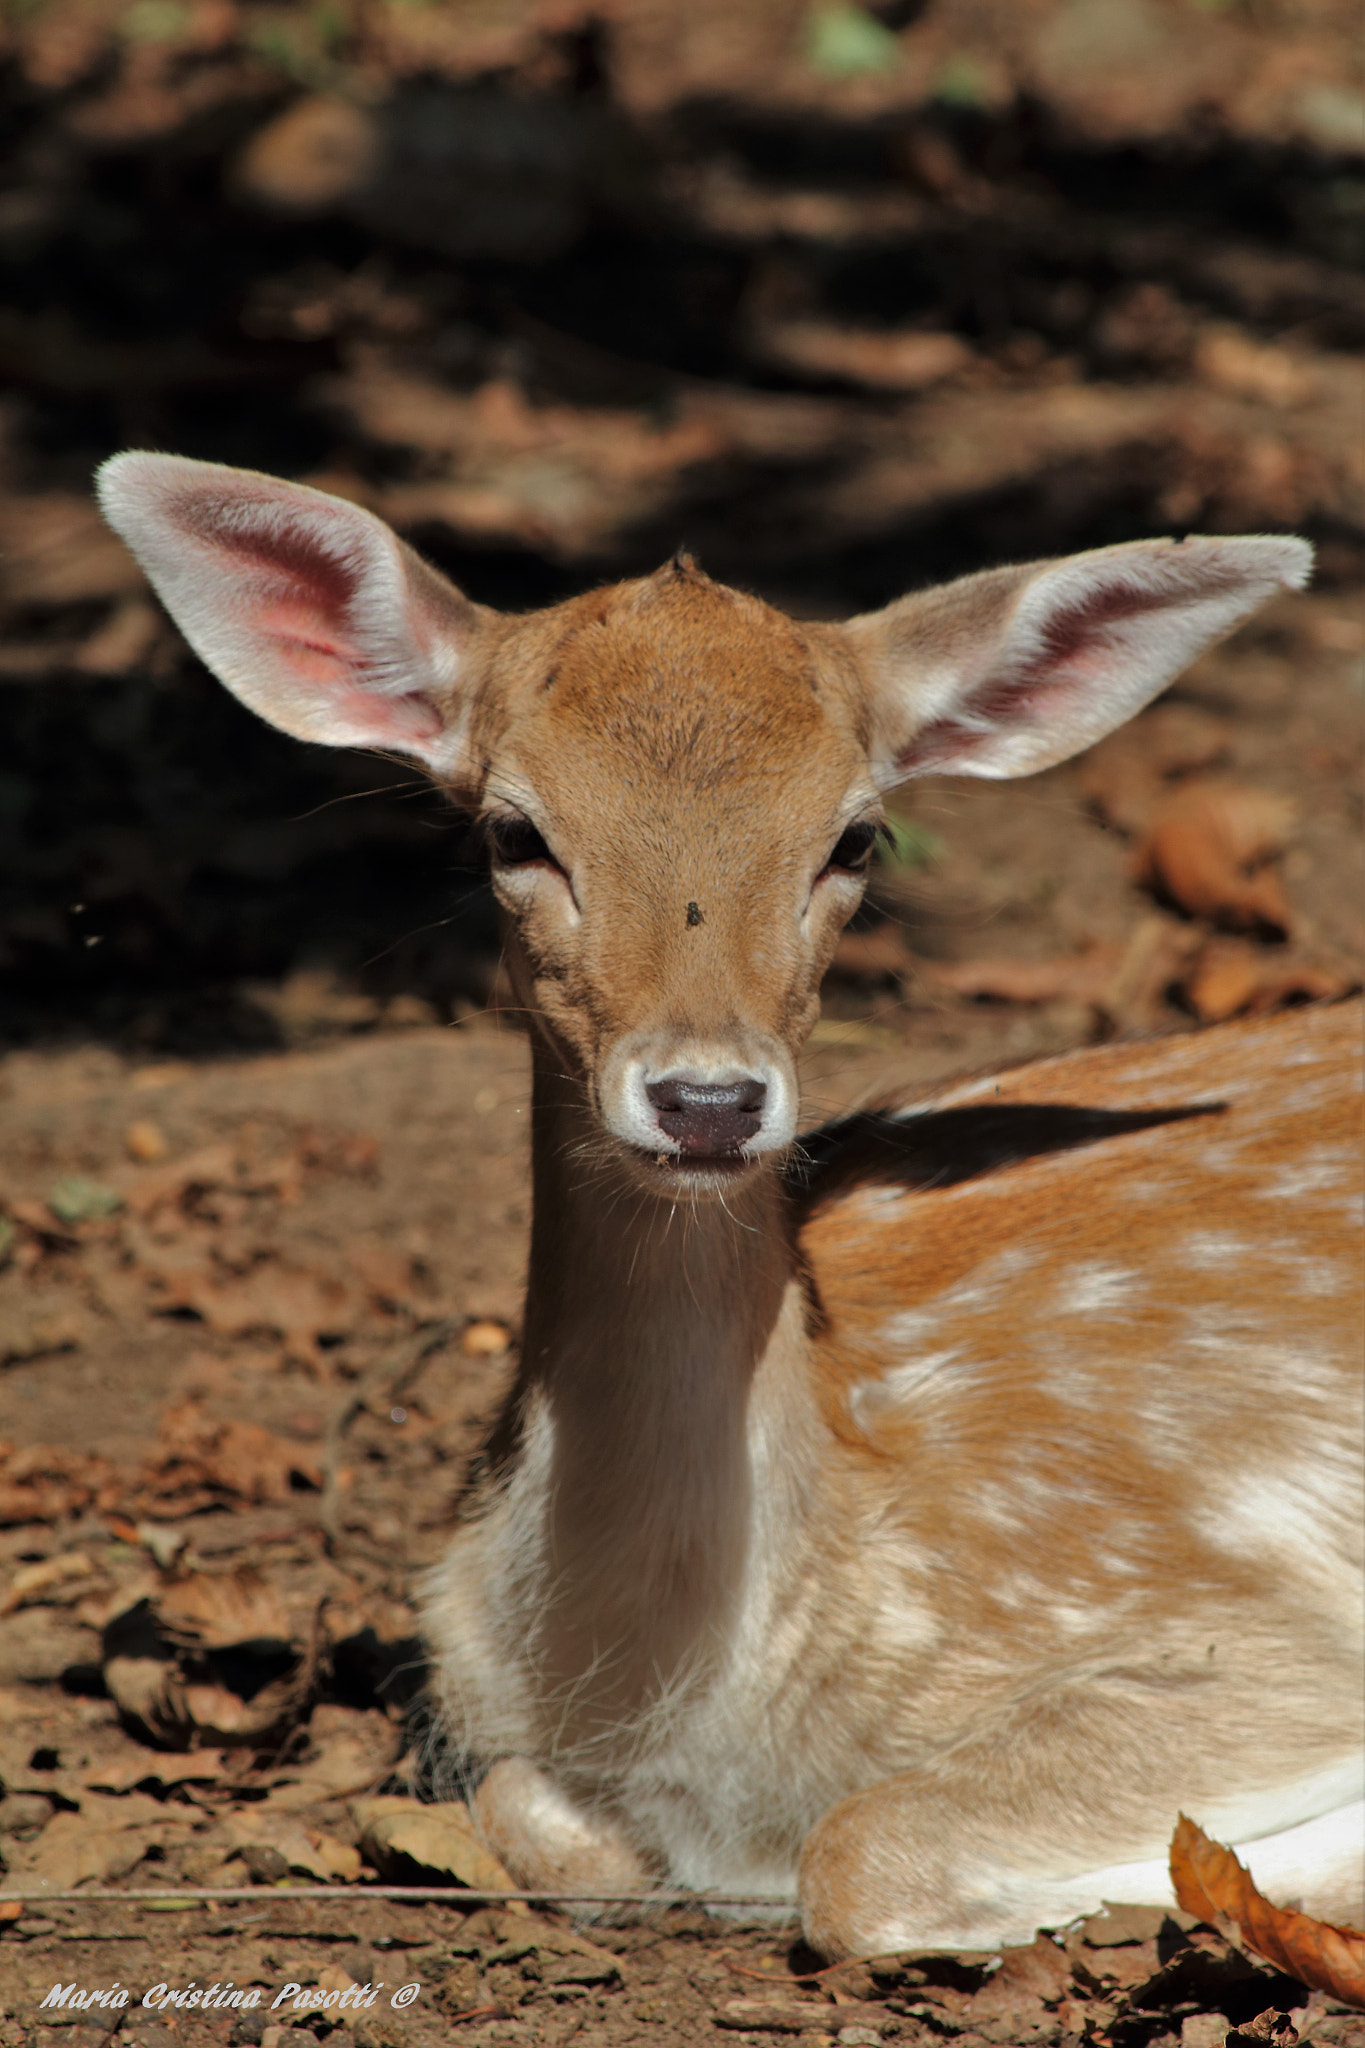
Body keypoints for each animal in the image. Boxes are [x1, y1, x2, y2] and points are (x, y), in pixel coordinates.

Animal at [97, 452, 1363, 1960]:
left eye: (856, 837)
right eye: (515, 831)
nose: (706, 1098)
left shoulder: (1251, 1627)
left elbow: (861, 1852)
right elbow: (529, 1807)